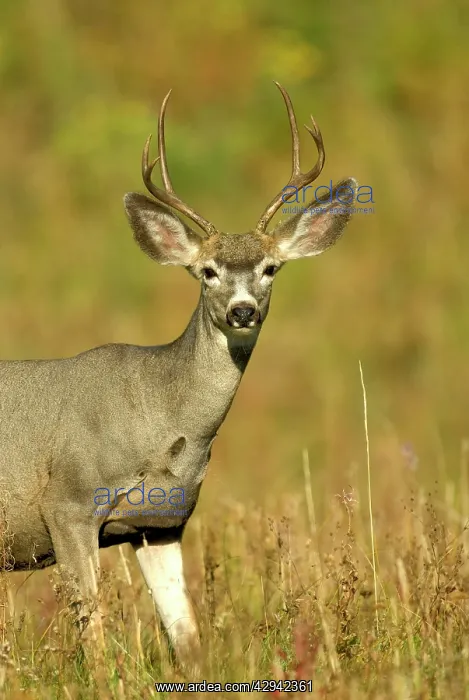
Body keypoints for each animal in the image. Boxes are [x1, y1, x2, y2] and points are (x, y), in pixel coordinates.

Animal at [0, 83, 356, 667]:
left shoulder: (160, 525)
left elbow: (186, 635)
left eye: (270, 268)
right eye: (206, 271)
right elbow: (94, 634)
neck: (160, 418)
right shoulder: (68, 503)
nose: (242, 310)